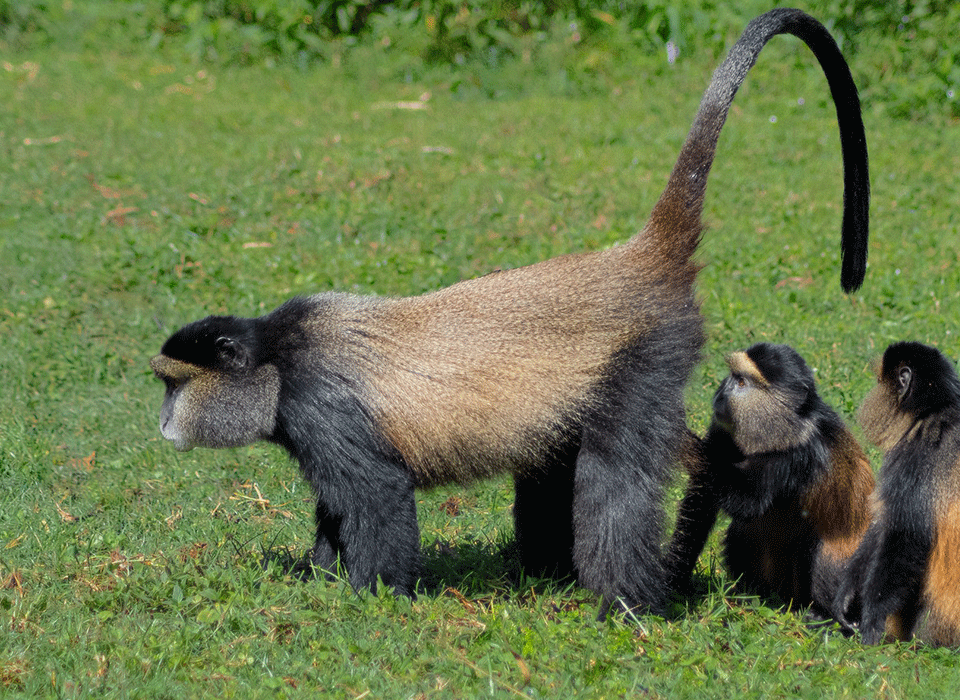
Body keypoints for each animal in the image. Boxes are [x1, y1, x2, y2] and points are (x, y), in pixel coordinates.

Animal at [666, 343, 875, 620]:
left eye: (741, 382)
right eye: (732, 376)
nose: (721, 393)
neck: (784, 427)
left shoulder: (801, 454)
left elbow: (747, 502)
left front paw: (681, 436)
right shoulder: (723, 430)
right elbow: (701, 503)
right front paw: (672, 580)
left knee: (818, 546)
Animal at [833, 342, 960, 646]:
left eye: (880, 381)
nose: (870, 392)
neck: (934, 412)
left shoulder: (915, 457)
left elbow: (904, 537)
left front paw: (871, 624)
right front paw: (846, 597)